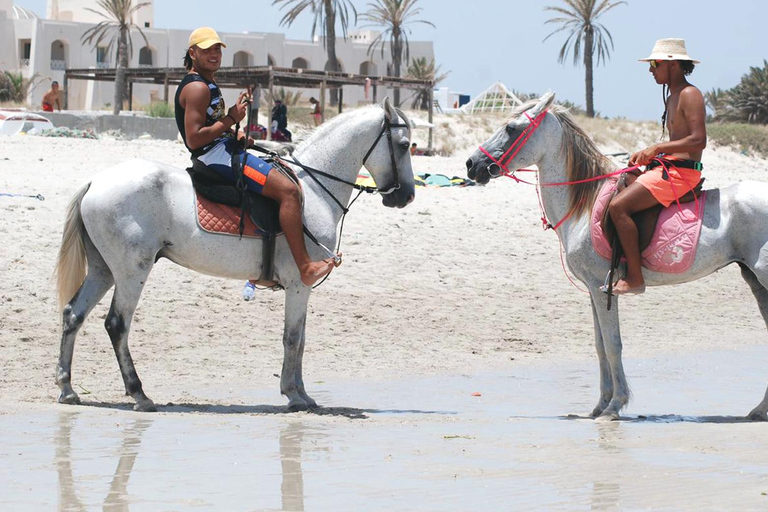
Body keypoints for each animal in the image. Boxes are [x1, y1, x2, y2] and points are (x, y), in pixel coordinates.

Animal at [55, 98, 414, 412]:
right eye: (405, 145)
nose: (407, 196)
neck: (313, 190)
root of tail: (96, 181)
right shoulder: (300, 285)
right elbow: (293, 338)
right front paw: (294, 395)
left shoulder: (301, 289)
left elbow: (300, 338)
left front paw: (302, 393)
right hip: (132, 271)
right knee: (117, 325)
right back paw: (139, 394)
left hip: (104, 270)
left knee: (74, 314)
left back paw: (67, 388)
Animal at [462, 92, 768, 420]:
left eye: (511, 128)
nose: (471, 164)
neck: (584, 204)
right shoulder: (594, 289)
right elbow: (599, 345)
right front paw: (599, 405)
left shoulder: (602, 288)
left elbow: (612, 345)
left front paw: (614, 405)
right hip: (755, 281)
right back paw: (759, 409)